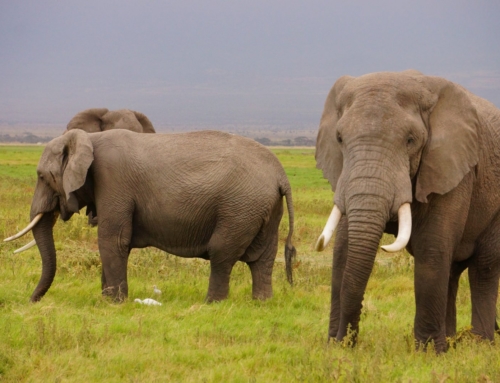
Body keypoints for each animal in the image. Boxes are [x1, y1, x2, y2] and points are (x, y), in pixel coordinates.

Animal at [4, 130, 296, 304]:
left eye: (42, 176)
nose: (31, 301)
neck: (89, 138)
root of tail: (281, 175)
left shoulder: (114, 181)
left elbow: (112, 240)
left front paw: (113, 303)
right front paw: (106, 299)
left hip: (239, 208)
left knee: (222, 253)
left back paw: (211, 304)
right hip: (263, 208)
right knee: (262, 258)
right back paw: (261, 303)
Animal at [314, 70, 500, 352]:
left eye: (410, 141)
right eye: (339, 139)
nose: (345, 339)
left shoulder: (450, 166)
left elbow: (431, 249)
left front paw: (427, 353)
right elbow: (343, 249)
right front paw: (335, 347)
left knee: (483, 269)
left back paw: (478, 346)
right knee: (452, 271)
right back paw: (451, 343)